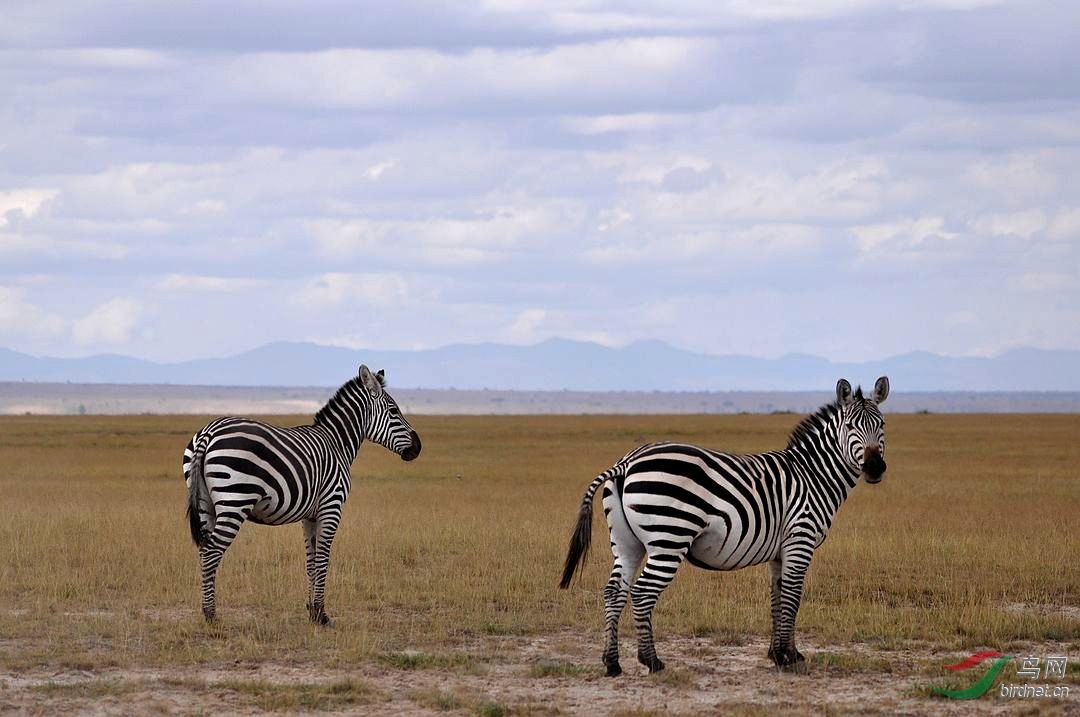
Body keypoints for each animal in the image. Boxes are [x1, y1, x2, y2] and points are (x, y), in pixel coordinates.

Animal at [181, 364, 421, 621]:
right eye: (394, 411)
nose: (418, 447)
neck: (337, 444)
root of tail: (209, 432)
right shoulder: (331, 506)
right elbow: (323, 558)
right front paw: (322, 614)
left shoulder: (310, 515)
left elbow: (311, 560)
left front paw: (312, 610)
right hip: (234, 501)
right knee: (211, 553)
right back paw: (210, 615)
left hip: (205, 504)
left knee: (204, 550)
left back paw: (207, 611)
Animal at [561, 377, 889, 673]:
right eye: (851, 428)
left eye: (882, 426)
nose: (875, 469)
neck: (813, 475)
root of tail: (627, 462)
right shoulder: (800, 540)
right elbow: (793, 597)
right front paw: (789, 657)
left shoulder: (780, 551)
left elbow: (777, 597)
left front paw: (779, 654)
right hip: (670, 539)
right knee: (642, 593)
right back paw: (651, 661)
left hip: (627, 543)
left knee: (614, 592)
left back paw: (612, 662)